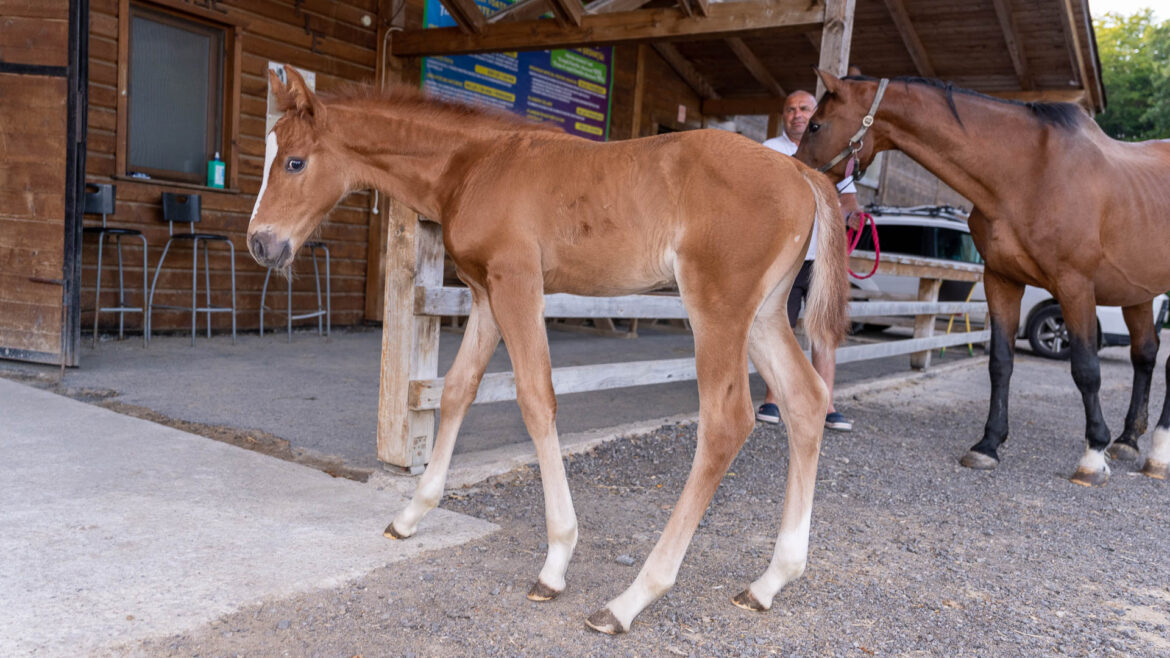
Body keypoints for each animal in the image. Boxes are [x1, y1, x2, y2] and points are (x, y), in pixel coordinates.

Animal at [247, 66, 849, 633]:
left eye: (295, 162)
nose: (260, 244)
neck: (474, 165)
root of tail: (801, 171)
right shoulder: (485, 293)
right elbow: (458, 390)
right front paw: (411, 514)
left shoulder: (518, 283)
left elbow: (536, 400)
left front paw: (556, 562)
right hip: (765, 313)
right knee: (804, 401)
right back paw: (770, 581)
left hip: (718, 308)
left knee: (726, 422)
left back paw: (630, 600)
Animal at [796, 69, 1170, 486]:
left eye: (816, 125)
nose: (796, 172)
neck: (1030, 174)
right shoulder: (1001, 280)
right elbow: (1000, 363)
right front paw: (988, 445)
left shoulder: (1074, 286)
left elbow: (1086, 369)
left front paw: (1092, 456)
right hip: (1137, 294)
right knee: (1146, 355)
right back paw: (1128, 441)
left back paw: (1158, 455)